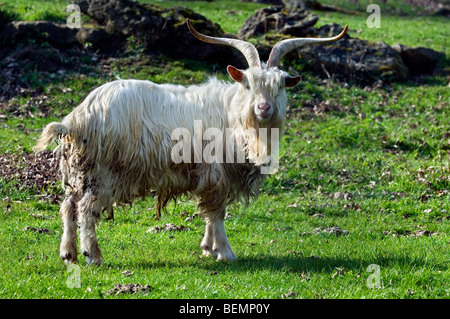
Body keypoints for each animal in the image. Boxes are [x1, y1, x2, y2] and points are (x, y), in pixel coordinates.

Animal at [34, 18, 348, 266]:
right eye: (248, 84)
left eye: (280, 85)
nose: (263, 108)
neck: (235, 114)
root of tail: (79, 116)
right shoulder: (216, 173)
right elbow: (216, 213)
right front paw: (225, 252)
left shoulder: (212, 176)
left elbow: (213, 213)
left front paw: (208, 248)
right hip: (105, 171)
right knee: (87, 208)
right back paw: (93, 255)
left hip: (79, 169)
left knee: (69, 206)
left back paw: (69, 254)